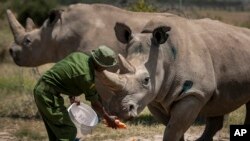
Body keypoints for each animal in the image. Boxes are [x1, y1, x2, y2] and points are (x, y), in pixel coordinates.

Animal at [99, 16, 250, 140]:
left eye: (146, 80)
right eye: (119, 71)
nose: (117, 110)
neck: (164, 55)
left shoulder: (194, 93)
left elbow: (173, 130)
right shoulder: (155, 97)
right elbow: (174, 129)